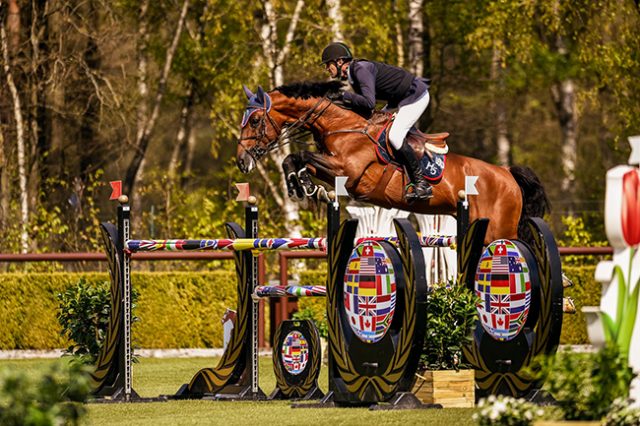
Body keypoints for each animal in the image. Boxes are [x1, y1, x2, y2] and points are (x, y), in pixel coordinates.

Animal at [238, 80, 548, 243]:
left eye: (254, 121)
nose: (242, 162)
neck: (341, 125)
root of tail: (507, 174)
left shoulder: (347, 171)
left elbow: (301, 155)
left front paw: (305, 185)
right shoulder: (331, 167)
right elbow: (293, 159)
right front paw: (301, 185)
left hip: (498, 231)